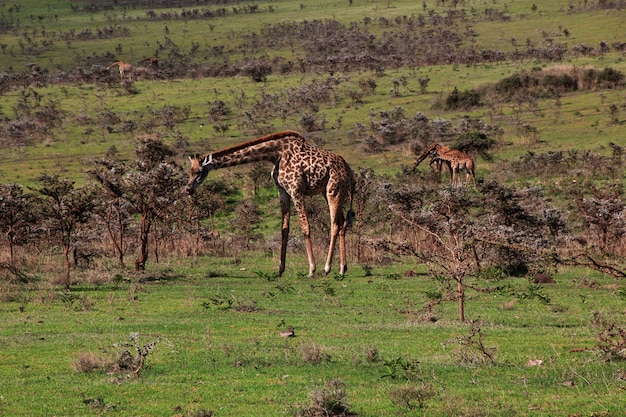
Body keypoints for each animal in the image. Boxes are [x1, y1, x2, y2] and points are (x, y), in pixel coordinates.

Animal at [185, 130, 354, 276]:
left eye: (200, 171)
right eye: (189, 171)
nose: (188, 189)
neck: (276, 154)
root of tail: (349, 170)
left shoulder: (296, 190)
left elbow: (305, 228)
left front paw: (312, 269)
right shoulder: (283, 191)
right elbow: (284, 229)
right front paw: (280, 269)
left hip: (333, 190)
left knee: (335, 224)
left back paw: (327, 268)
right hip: (331, 192)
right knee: (343, 222)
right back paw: (342, 268)